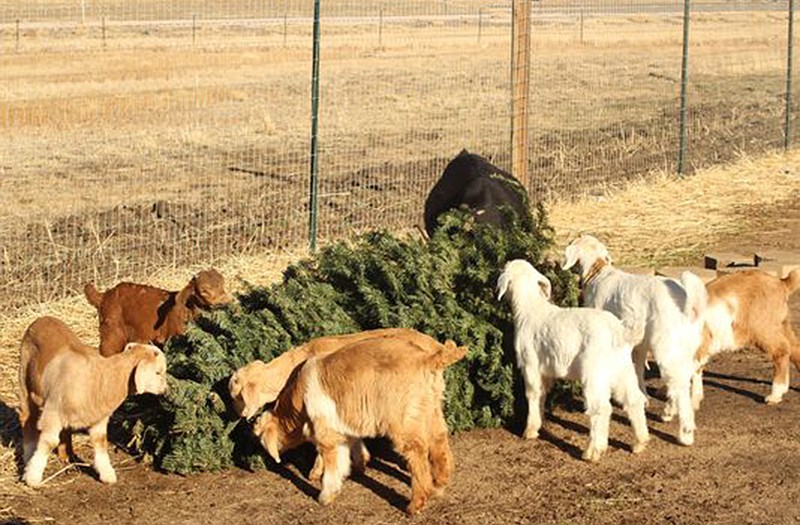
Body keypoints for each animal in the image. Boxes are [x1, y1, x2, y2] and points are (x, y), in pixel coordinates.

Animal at [18, 314, 167, 486]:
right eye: (158, 372)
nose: (165, 390)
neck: (101, 378)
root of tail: (42, 318)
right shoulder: (52, 413)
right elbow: (48, 442)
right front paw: (32, 477)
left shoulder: (99, 419)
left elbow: (100, 443)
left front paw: (107, 475)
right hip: (24, 380)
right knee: (27, 419)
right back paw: (28, 457)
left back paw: (66, 457)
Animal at [500, 260, 648, 460]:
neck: (530, 308)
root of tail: (618, 331)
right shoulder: (545, 370)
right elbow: (542, 394)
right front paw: (539, 424)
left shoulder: (530, 364)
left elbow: (533, 394)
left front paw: (529, 430)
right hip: (622, 368)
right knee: (634, 399)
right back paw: (640, 442)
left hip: (594, 371)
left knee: (601, 408)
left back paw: (593, 451)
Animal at [564, 235, 708, 444]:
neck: (598, 272)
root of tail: (685, 301)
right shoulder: (640, 343)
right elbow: (638, 367)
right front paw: (644, 396)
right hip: (687, 344)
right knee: (688, 373)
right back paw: (670, 410)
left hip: (665, 344)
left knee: (679, 382)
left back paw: (685, 432)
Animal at [692, 268, 800, 408]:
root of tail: (781, 283)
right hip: (781, 323)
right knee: (795, 348)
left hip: (762, 327)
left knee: (781, 350)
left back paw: (775, 395)